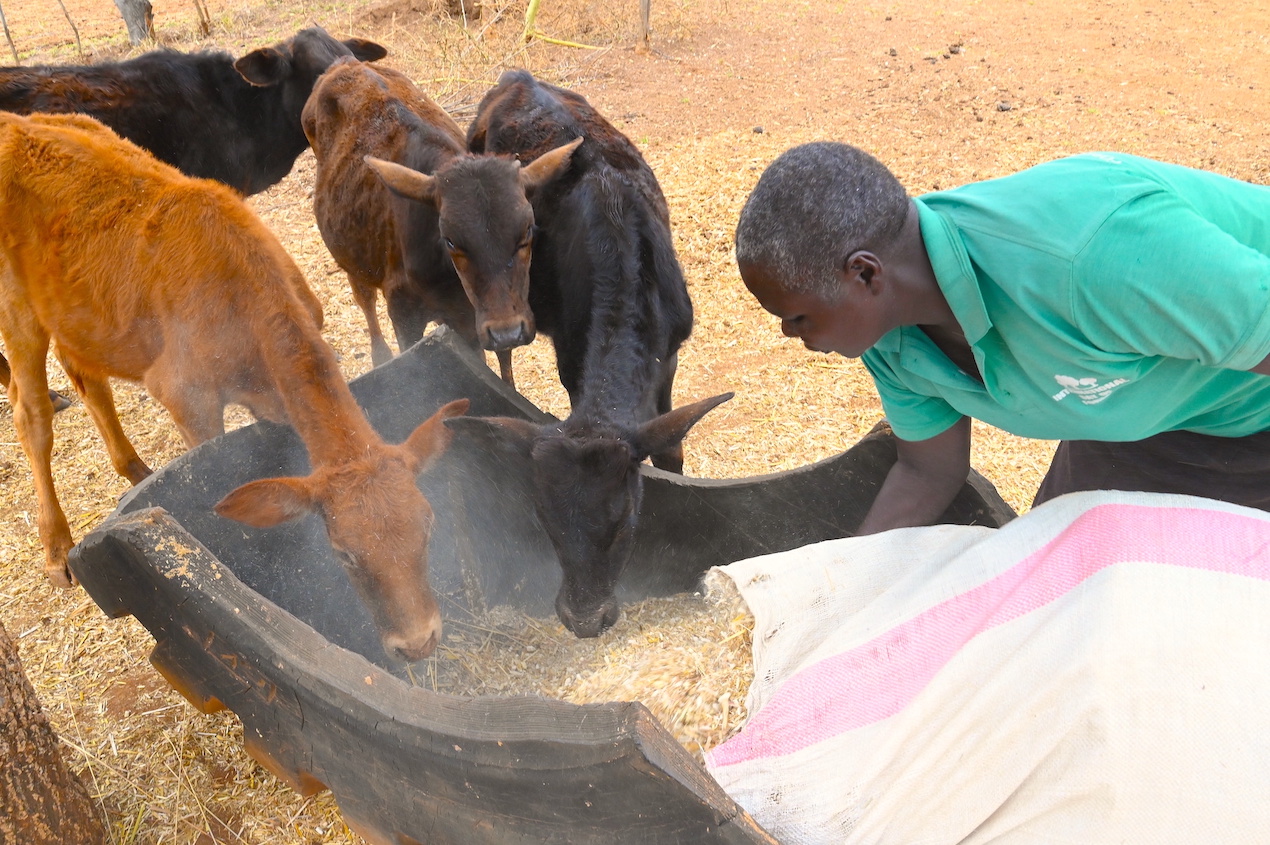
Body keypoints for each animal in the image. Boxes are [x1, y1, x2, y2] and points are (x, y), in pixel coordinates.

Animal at [0, 111, 467, 660]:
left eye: (428, 525)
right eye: (344, 554)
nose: (417, 644)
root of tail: (16, 121)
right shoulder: (186, 397)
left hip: (79, 314)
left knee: (88, 378)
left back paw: (135, 469)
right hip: (16, 307)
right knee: (31, 414)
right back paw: (57, 548)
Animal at [299, 54, 579, 381]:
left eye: (527, 233)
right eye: (451, 241)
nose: (507, 332)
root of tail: (345, 62)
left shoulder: (482, 318)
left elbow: (502, 368)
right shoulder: (404, 312)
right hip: (350, 255)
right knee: (364, 296)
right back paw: (379, 355)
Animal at [449, 70, 731, 640]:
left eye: (623, 522)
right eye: (546, 521)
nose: (583, 620)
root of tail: (516, 79)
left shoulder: (669, 357)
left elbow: (671, 448)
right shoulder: (568, 354)